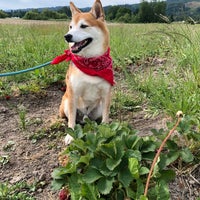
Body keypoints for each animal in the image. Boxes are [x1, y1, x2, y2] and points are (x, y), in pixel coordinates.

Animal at [54, 0, 114, 145]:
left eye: (83, 26)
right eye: (70, 27)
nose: (67, 36)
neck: (90, 61)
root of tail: (84, 116)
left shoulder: (106, 94)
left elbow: (106, 115)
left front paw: (106, 128)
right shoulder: (74, 93)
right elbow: (71, 120)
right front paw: (70, 136)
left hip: (97, 109)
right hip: (66, 103)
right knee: (69, 117)